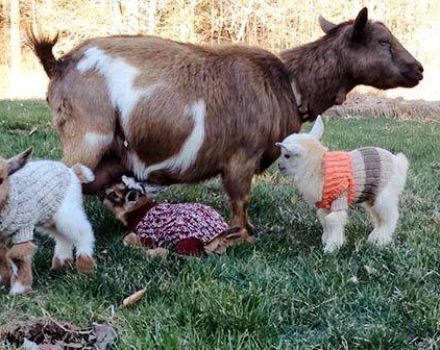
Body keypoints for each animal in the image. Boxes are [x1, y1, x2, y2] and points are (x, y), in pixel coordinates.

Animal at [26, 7, 422, 241]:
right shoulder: (240, 159)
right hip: (88, 136)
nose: (418, 69)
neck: (286, 81)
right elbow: (239, 199)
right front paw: (240, 236)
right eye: (383, 41)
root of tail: (60, 63)